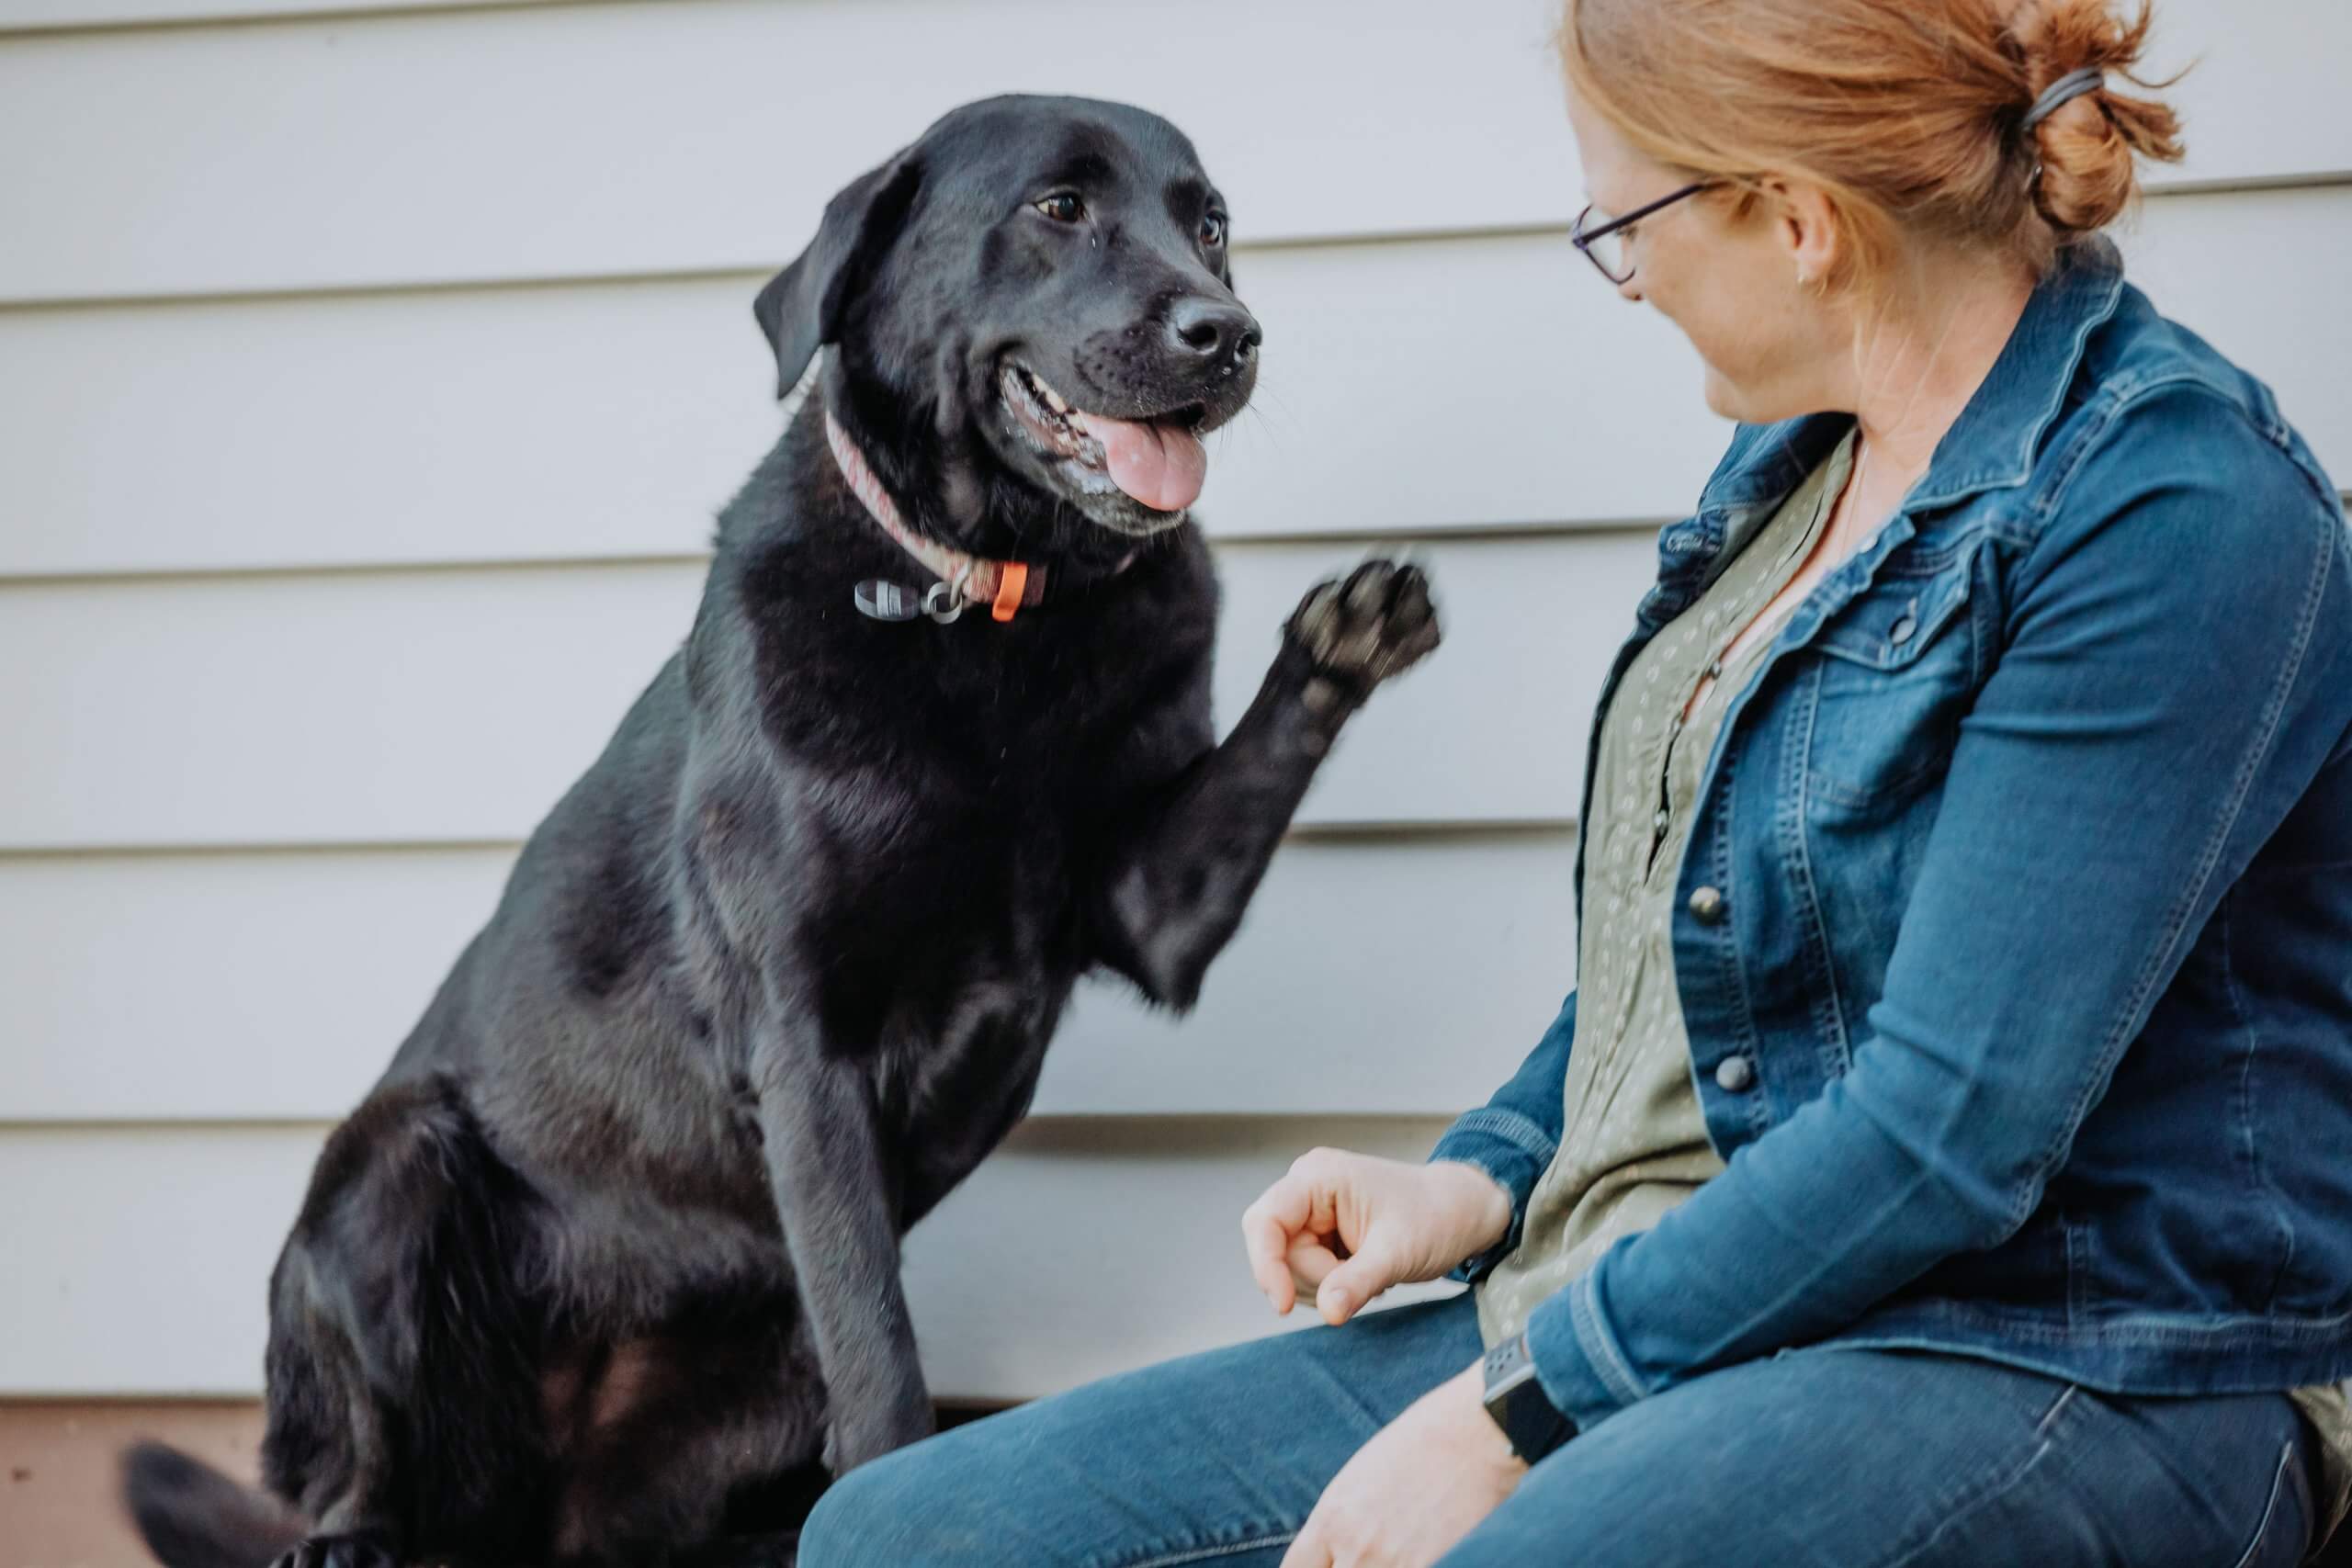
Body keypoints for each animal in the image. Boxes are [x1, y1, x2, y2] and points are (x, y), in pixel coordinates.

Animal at [121, 93, 1438, 1568]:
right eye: (1059, 209)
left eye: (1209, 225)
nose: (1230, 330)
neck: (990, 611)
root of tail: (523, 1513)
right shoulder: (808, 1050)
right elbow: (879, 1359)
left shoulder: (1153, 909)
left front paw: (1347, 633)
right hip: (390, 1168)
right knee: (368, 1449)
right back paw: (353, 1531)